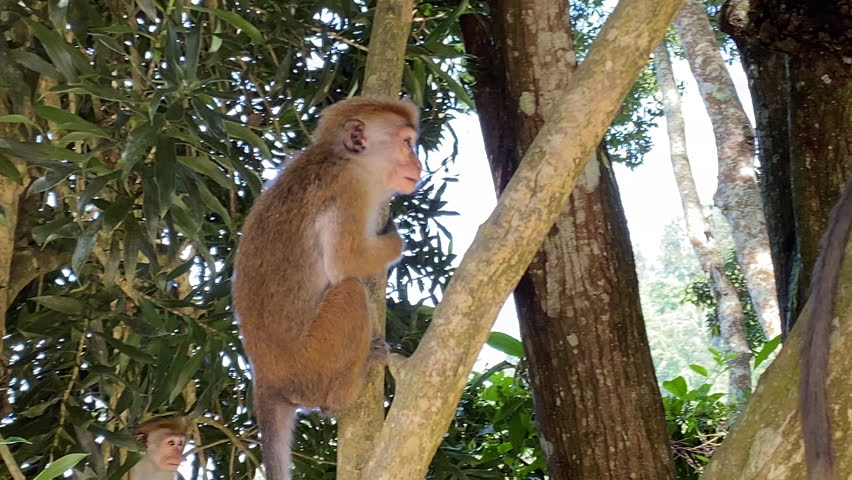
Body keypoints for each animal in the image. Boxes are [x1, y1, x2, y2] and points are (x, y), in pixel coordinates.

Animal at [231, 96, 423, 480]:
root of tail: (266, 376)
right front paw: (396, 242)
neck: (343, 158)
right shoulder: (351, 189)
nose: (419, 164)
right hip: (314, 360)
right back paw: (344, 393)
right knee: (351, 293)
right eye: (407, 143)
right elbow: (347, 262)